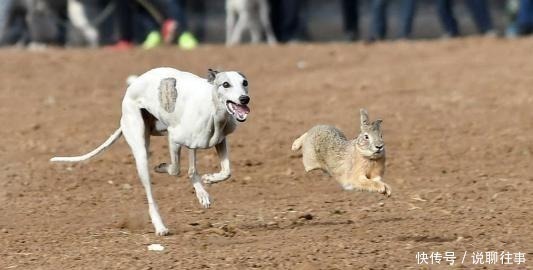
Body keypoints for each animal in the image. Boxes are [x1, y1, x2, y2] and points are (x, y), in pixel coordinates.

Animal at [50, 67, 249, 234]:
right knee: (151, 193)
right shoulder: (174, 138)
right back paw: (160, 226)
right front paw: (162, 168)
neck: (212, 109)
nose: (244, 99)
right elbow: (176, 169)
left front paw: (208, 182)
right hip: (141, 151)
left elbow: (224, 171)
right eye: (225, 84)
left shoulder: (217, 141)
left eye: (245, 82)